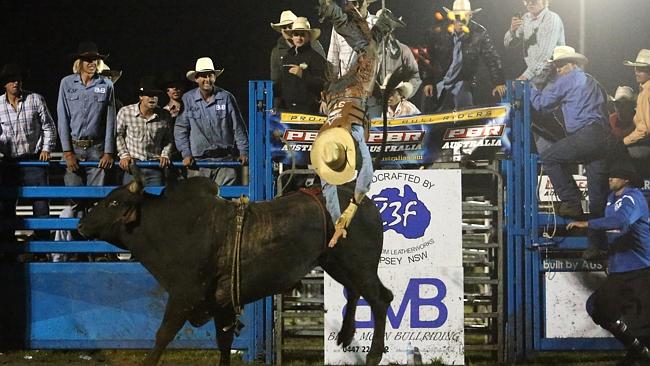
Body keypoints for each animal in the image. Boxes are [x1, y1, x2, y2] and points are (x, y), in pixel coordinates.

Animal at [76, 176, 390, 364]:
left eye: (113, 202)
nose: (81, 225)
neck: (170, 225)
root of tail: (362, 201)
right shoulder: (222, 303)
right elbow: (224, 340)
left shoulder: (183, 295)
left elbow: (163, 335)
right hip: (337, 263)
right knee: (356, 293)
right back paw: (346, 335)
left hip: (358, 264)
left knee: (380, 299)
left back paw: (373, 354)